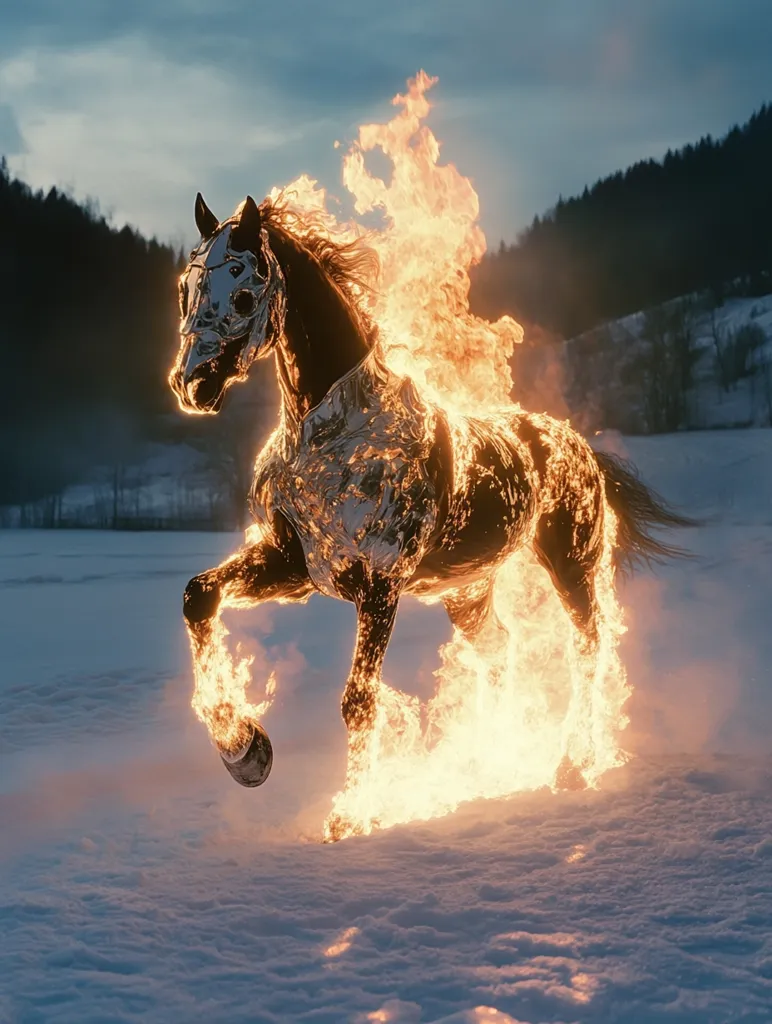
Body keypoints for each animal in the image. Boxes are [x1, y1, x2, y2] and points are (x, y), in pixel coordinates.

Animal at [169, 192, 690, 837]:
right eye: (185, 290)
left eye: (242, 292)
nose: (192, 386)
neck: (334, 436)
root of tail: (576, 443)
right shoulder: (292, 564)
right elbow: (199, 597)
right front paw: (246, 752)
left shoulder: (380, 584)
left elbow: (358, 700)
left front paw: (347, 819)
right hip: (467, 592)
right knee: (499, 650)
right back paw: (487, 764)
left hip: (572, 565)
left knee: (589, 648)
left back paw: (571, 766)